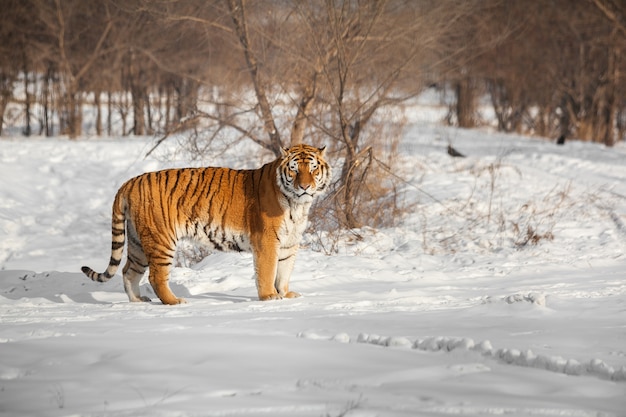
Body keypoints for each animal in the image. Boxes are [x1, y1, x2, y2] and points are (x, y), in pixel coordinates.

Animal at [81, 145, 332, 304]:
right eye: (294, 169)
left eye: (313, 169)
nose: (305, 187)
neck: (298, 204)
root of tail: (129, 182)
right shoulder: (267, 241)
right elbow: (268, 272)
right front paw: (269, 297)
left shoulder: (289, 244)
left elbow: (284, 273)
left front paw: (286, 295)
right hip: (160, 240)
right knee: (155, 276)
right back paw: (175, 301)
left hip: (137, 243)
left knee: (128, 271)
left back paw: (137, 301)